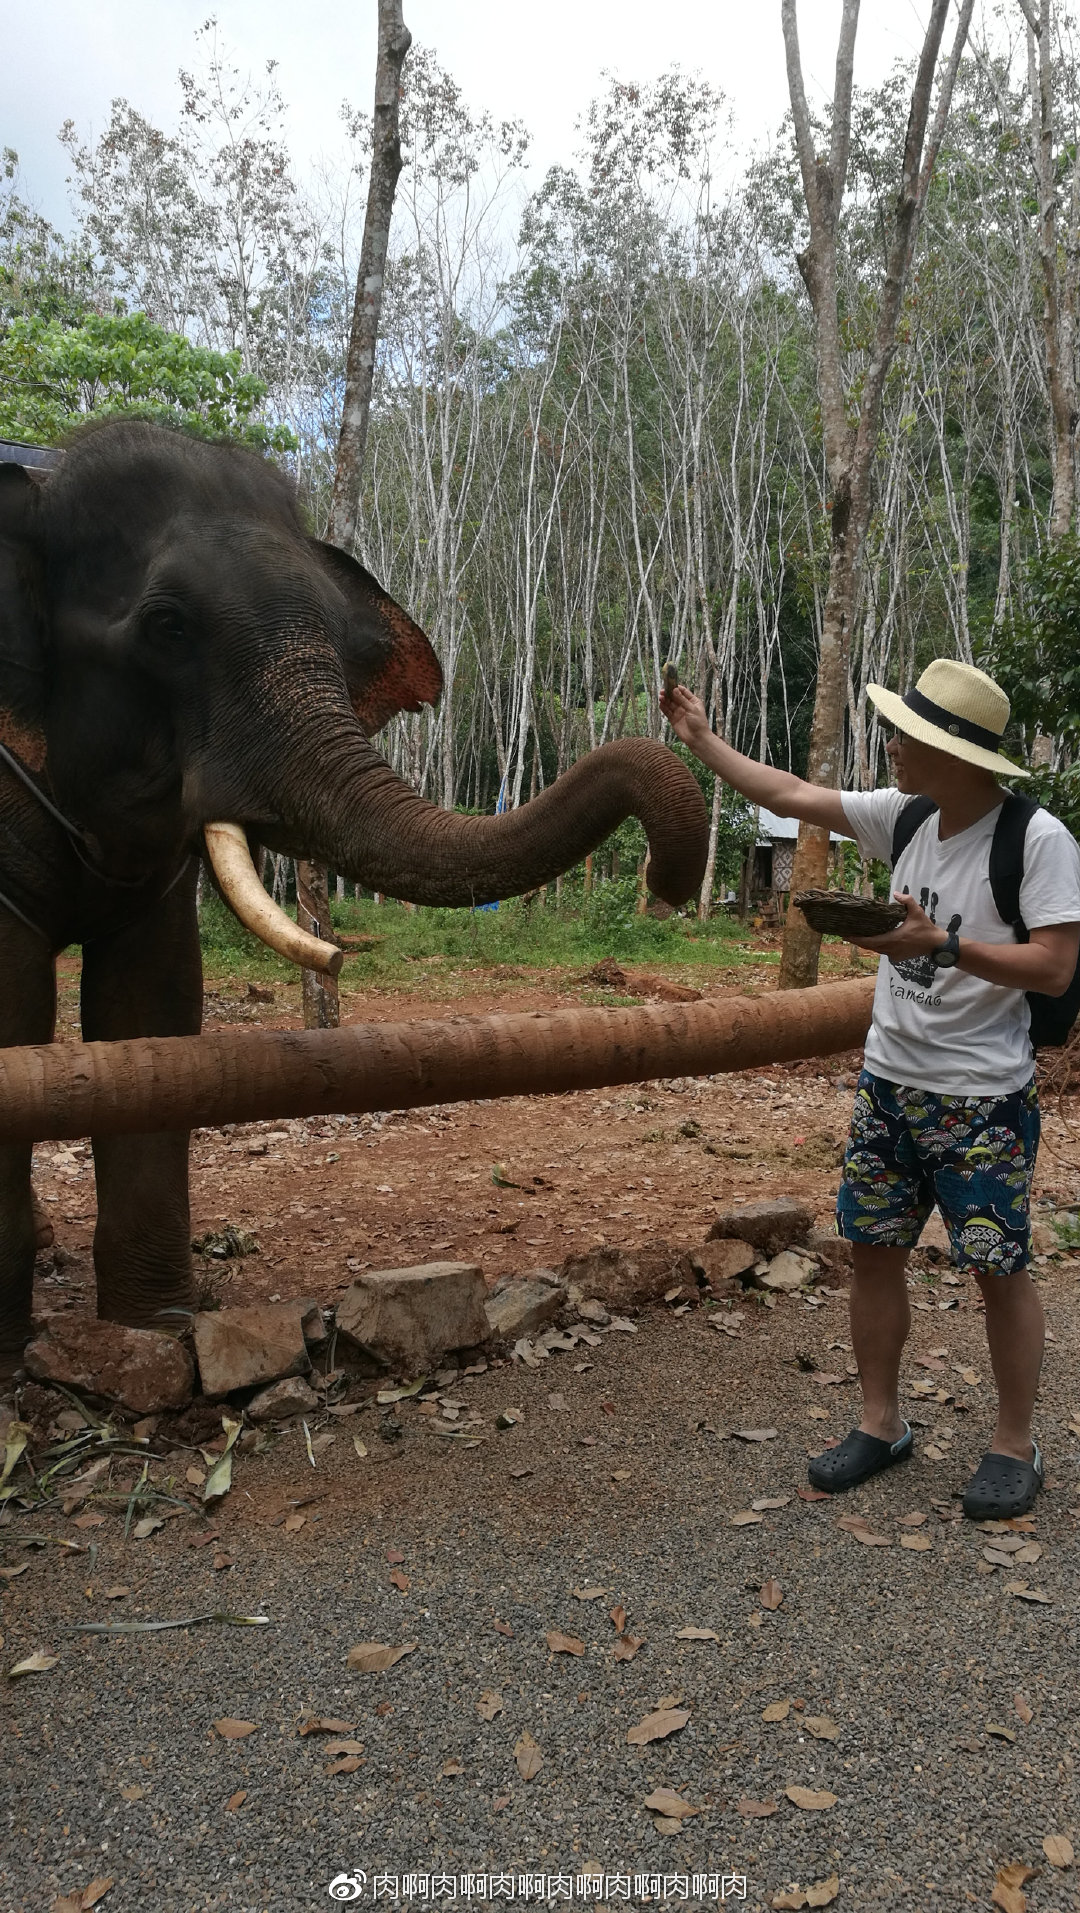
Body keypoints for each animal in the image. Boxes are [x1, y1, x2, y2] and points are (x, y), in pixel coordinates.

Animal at [0, 418, 707, 1362]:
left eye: (341, 644)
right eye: (167, 626)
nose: (668, 883)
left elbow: (153, 1010)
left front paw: (159, 1326)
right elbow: (13, 1010)